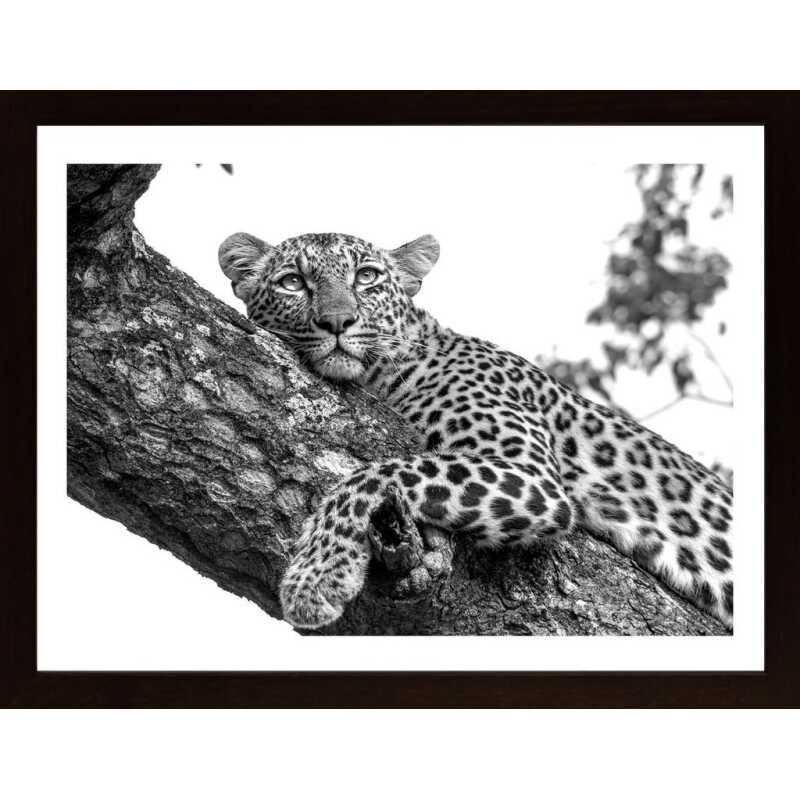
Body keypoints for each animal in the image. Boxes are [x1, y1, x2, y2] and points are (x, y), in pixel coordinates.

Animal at [219, 230, 734, 631]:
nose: (337, 322)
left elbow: (374, 475)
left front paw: (316, 579)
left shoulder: (533, 477)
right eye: (292, 283)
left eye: (366, 276)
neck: (392, 369)